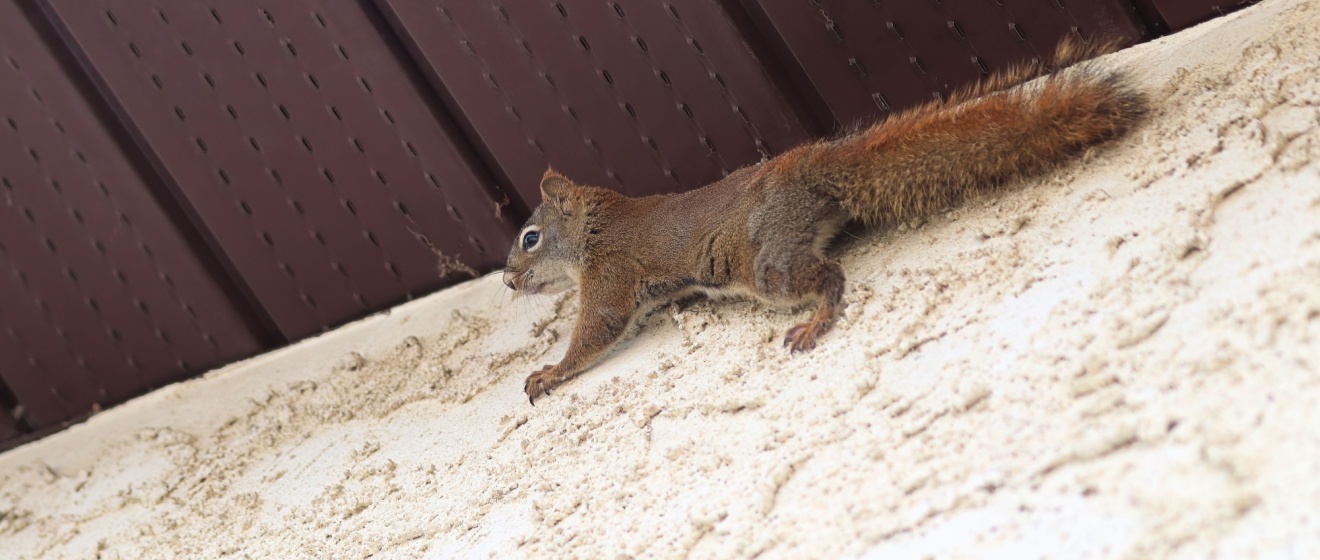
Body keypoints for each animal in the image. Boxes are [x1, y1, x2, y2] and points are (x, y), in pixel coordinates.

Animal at [503, 39, 1146, 404]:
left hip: (764, 262)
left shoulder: (611, 272)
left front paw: (550, 373)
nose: (508, 281)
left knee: (826, 276)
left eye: (530, 238)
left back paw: (816, 321)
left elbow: (599, 329)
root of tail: (812, 168)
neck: (594, 227)